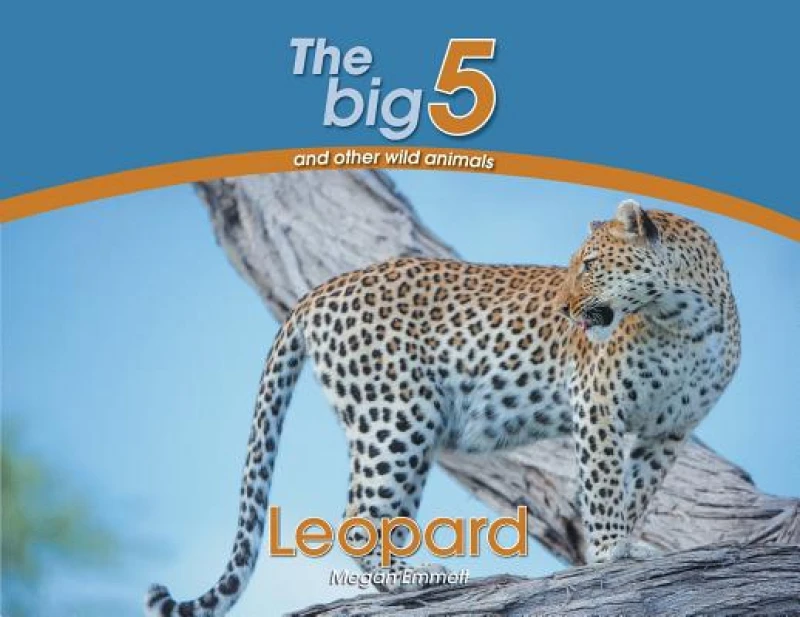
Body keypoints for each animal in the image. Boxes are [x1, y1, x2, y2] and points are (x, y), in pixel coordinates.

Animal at [146, 200, 741, 616]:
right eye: (575, 264)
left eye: (591, 263)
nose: (563, 306)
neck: (684, 319)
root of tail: (320, 289)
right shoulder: (596, 404)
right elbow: (602, 488)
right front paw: (612, 551)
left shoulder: (669, 430)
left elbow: (635, 490)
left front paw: (622, 548)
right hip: (397, 416)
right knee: (358, 518)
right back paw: (416, 578)